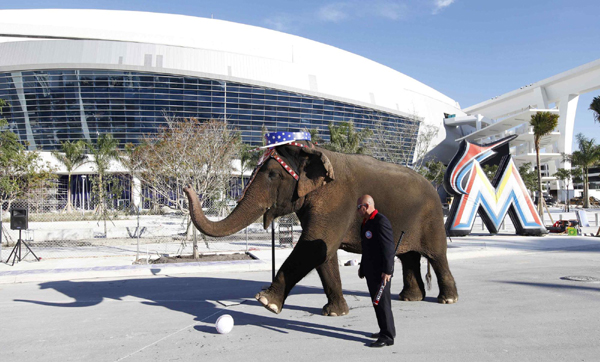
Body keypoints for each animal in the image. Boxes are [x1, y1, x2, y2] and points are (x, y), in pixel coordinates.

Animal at [185, 140, 458, 316]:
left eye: (272, 175)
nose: (188, 187)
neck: (310, 150)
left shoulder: (336, 200)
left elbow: (313, 245)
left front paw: (265, 302)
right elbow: (323, 251)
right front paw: (334, 313)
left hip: (433, 218)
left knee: (437, 256)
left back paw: (447, 300)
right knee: (408, 257)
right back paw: (410, 297)